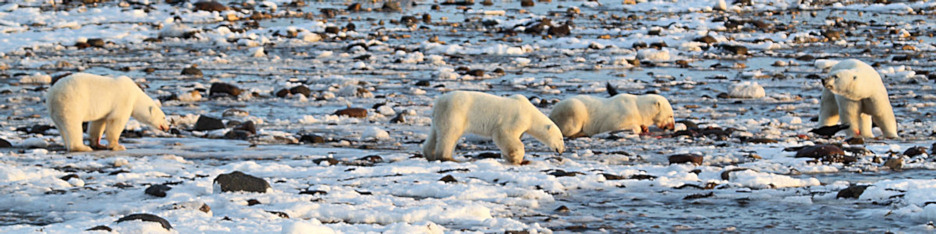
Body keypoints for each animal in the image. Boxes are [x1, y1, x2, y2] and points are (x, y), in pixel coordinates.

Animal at [422, 90, 564, 165]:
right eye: (561, 138)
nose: (562, 150)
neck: (530, 113)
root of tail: (438, 102)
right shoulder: (516, 119)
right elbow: (504, 134)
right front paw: (517, 158)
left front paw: (509, 157)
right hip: (455, 113)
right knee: (450, 134)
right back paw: (448, 158)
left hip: (440, 117)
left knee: (435, 134)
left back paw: (430, 154)